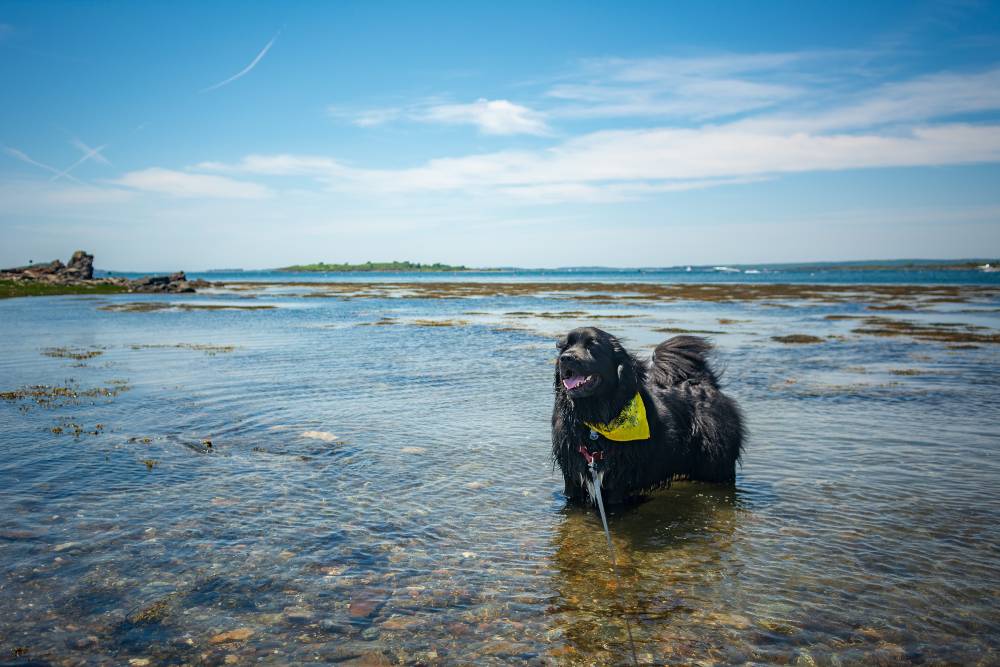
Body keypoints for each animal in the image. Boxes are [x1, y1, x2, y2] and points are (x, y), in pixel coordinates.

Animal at [552, 326, 748, 504]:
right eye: (565, 346)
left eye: (592, 346)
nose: (565, 358)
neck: (594, 420)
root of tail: (706, 383)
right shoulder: (572, 477)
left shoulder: (618, 482)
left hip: (716, 465)